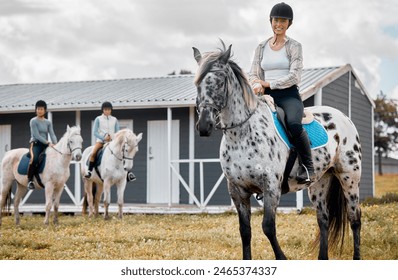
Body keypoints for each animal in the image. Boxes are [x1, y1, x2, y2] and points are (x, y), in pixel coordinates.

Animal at [191, 42, 362, 260]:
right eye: (197, 83)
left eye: (220, 82)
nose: (204, 126)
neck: (241, 134)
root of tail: (344, 118)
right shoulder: (237, 190)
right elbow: (245, 231)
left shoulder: (271, 187)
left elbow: (268, 227)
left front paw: (282, 257)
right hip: (319, 182)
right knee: (323, 220)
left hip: (349, 177)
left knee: (354, 218)